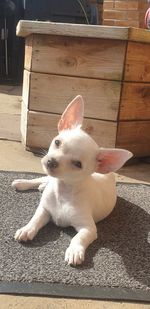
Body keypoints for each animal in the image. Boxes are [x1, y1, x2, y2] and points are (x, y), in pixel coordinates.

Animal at [12, 95, 132, 264]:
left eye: (77, 164)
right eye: (57, 142)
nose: (51, 161)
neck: (63, 190)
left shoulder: (88, 228)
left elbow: (78, 238)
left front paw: (75, 251)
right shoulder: (44, 209)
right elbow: (35, 219)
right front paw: (26, 229)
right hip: (45, 178)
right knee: (42, 178)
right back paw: (22, 183)